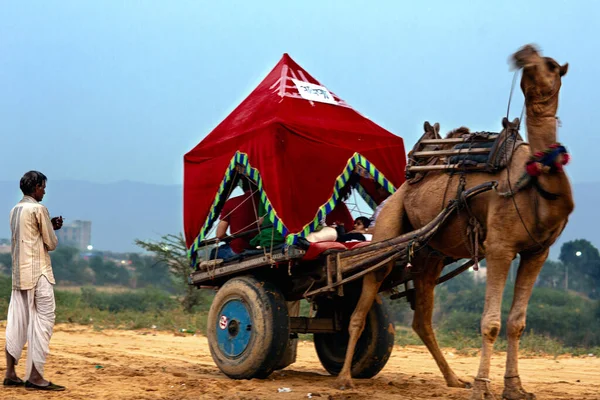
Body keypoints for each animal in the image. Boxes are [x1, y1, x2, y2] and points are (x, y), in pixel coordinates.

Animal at [336, 44, 576, 400]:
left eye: (550, 66)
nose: (523, 54)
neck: (535, 188)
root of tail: (402, 185)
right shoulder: (500, 246)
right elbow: (491, 322)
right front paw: (481, 387)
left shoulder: (538, 252)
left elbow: (517, 322)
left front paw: (515, 388)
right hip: (389, 228)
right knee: (360, 309)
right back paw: (344, 379)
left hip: (429, 255)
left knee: (421, 318)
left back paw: (452, 378)